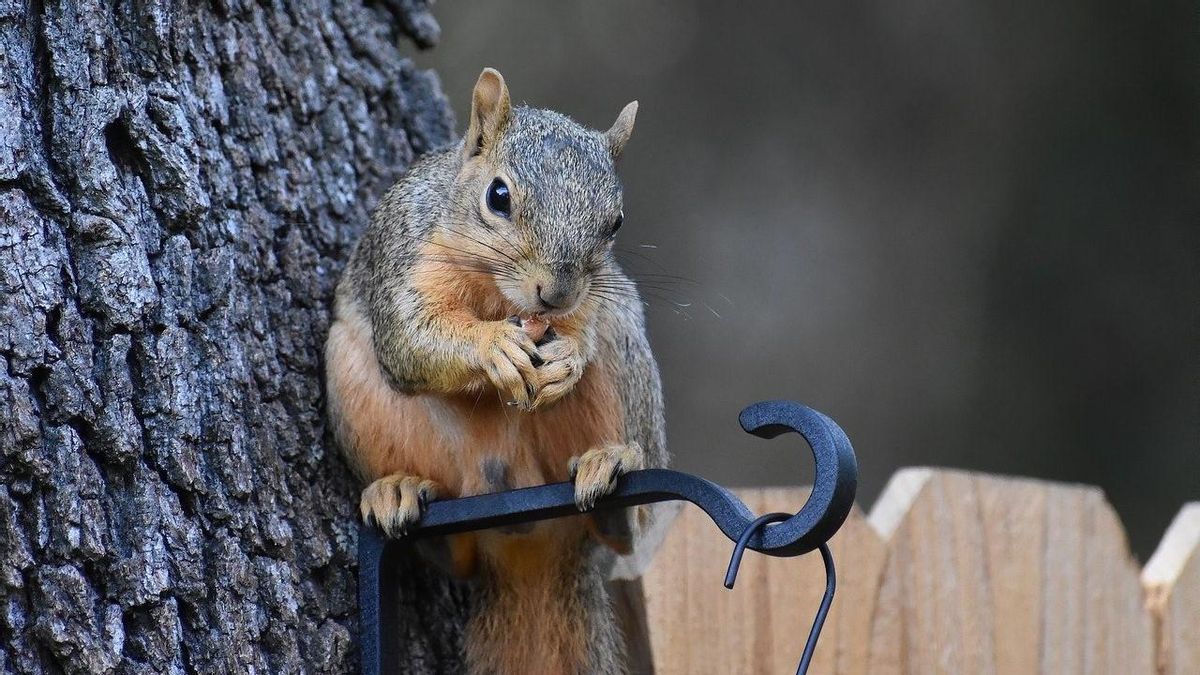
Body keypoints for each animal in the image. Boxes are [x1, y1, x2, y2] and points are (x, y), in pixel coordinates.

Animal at [326, 69, 667, 672]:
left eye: (615, 222)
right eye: (498, 196)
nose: (556, 294)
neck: (496, 293)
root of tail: (524, 538)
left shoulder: (596, 300)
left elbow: (582, 330)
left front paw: (568, 357)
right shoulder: (405, 258)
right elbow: (410, 340)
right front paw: (493, 348)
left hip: (623, 352)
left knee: (622, 534)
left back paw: (613, 465)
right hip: (352, 381)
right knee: (453, 555)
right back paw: (399, 491)